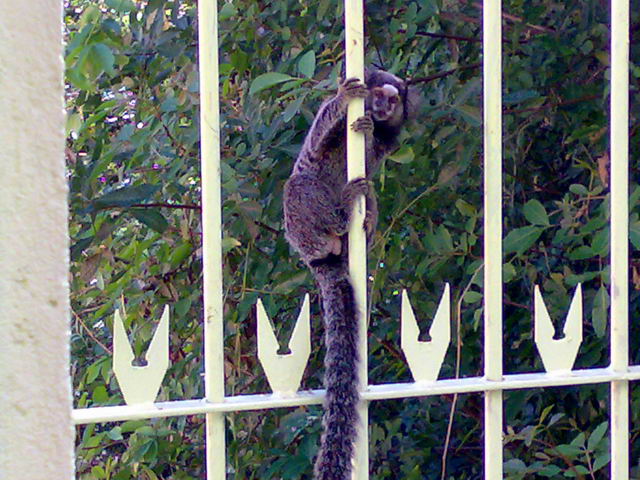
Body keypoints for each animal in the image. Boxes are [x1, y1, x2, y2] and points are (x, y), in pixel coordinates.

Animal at [282, 68, 418, 480]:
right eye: (377, 95)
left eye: (392, 100)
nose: (381, 107)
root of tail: (317, 259)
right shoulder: (322, 126)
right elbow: (317, 144)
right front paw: (349, 104)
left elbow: (373, 157)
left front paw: (370, 130)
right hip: (303, 225)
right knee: (301, 184)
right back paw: (340, 217)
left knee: (369, 194)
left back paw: (360, 218)